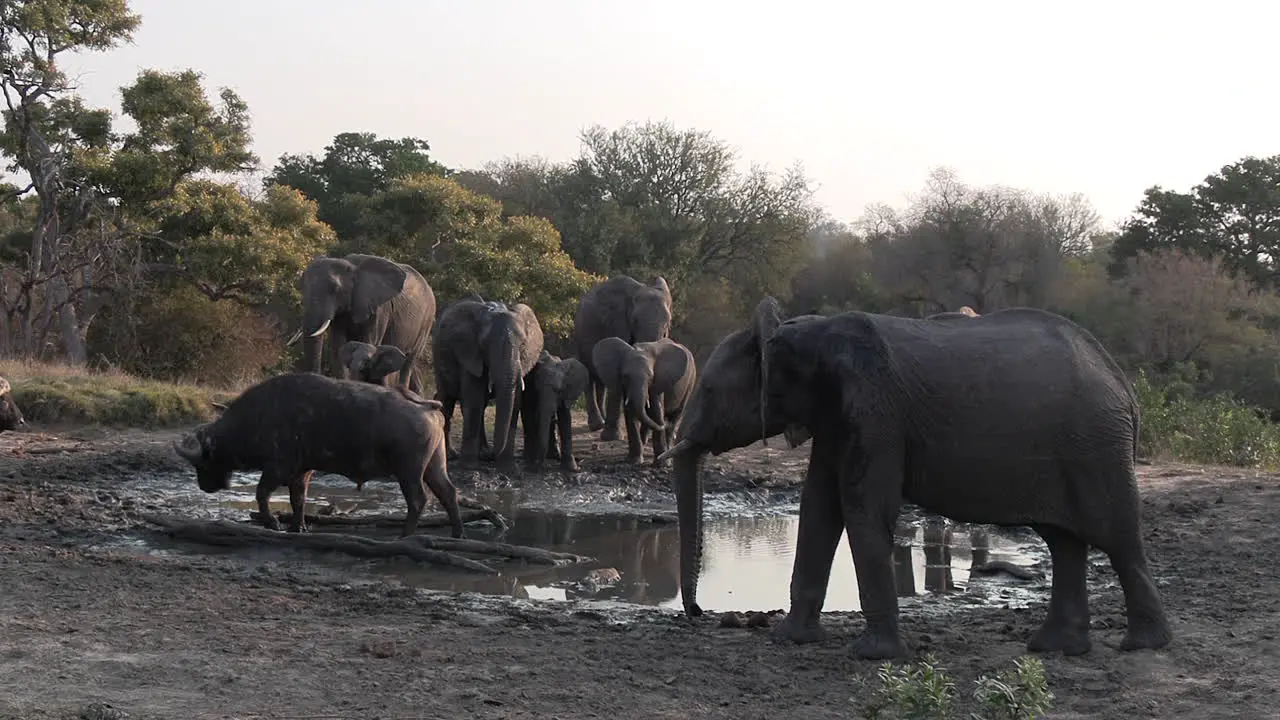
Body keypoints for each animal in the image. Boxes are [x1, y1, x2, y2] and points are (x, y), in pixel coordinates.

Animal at [285, 251, 435, 389]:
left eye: (335, 289)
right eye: (301, 286)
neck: (352, 267)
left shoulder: (379, 309)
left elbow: (369, 341)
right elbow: (338, 345)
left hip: (427, 320)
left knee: (409, 361)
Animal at [435, 297, 545, 466]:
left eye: (522, 345)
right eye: (485, 345)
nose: (493, 456)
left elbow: (514, 403)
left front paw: (507, 466)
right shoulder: (469, 354)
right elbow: (474, 401)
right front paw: (469, 466)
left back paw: (483, 453)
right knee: (447, 400)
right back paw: (453, 456)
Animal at [570, 274, 670, 438]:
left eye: (667, 323)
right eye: (634, 321)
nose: (663, 426)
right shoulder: (616, 323)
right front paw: (612, 437)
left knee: (601, 381)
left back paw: (603, 420)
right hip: (580, 334)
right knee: (589, 373)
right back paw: (597, 425)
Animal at [591, 333, 696, 461]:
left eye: (650, 377)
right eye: (625, 376)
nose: (664, 424)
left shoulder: (659, 381)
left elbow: (656, 411)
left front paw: (661, 462)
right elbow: (631, 412)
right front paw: (634, 461)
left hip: (690, 382)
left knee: (675, 415)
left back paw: (668, 447)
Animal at [665, 294, 1172, 661]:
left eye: (708, 389)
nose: (698, 613)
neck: (798, 331)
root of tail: (1124, 386)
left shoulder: (875, 412)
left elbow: (862, 507)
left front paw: (873, 656)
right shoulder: (835, 419)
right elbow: (818, 508)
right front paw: (789, 639)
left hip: (1096, 445)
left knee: (1117, 535)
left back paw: (1142, 646)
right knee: (1063, 539)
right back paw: (1056, 649)